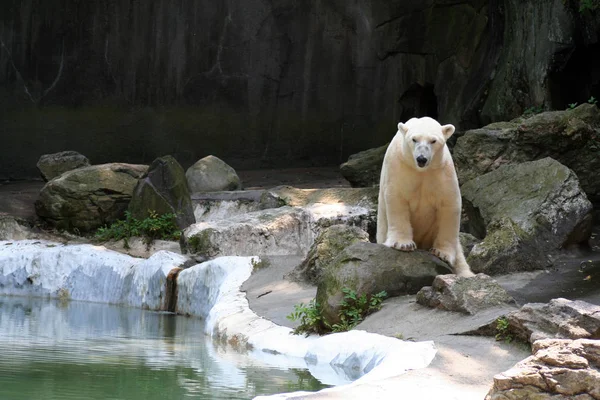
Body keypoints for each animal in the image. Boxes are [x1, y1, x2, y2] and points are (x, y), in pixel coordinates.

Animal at [380, 116, 474, 276]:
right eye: (414, 139)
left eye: (433, 140)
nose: (421, 159)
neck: (422, 170)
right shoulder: (399, 166)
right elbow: (397, 198)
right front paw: (403, 244)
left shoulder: (442, 170)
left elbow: (449, 204)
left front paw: (442, 253)